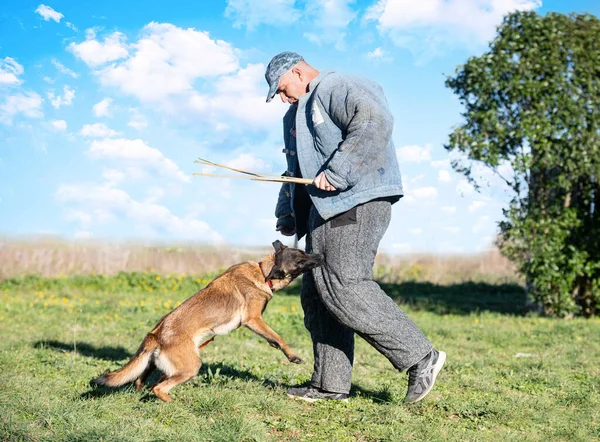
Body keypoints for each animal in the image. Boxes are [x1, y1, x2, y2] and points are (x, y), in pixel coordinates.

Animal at [92, 240, 324, 402]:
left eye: (304, 253)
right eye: (301, 260)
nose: (321, 255)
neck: (263, 272)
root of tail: (156, 333)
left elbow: (273, 339)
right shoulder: (253, 319)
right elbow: (279, 337)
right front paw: (293, 356)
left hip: (152, 364)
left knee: (142, 381)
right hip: (191, 366)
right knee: (158, 388)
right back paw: (175, 402)